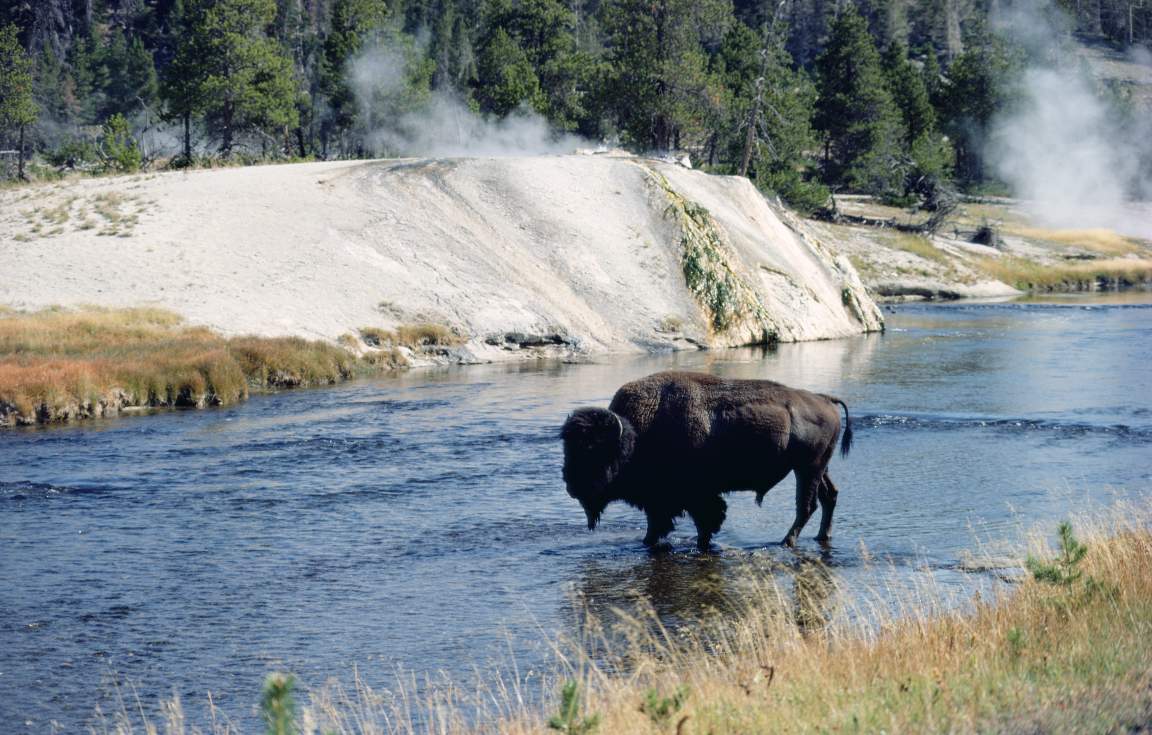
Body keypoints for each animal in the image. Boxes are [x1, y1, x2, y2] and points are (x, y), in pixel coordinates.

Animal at [562, 373, 852, 552]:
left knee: (807, 505)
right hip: (818, 468)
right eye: (568, 448)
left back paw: (786, 542)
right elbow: (665, 527)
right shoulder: (664, 502)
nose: (570, 486)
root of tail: (824, 399)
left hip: (808, 468)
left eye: (591, 449)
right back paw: (821, 536)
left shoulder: (690, 498)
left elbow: (703, 521)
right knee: (829, 496)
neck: (636, 435)